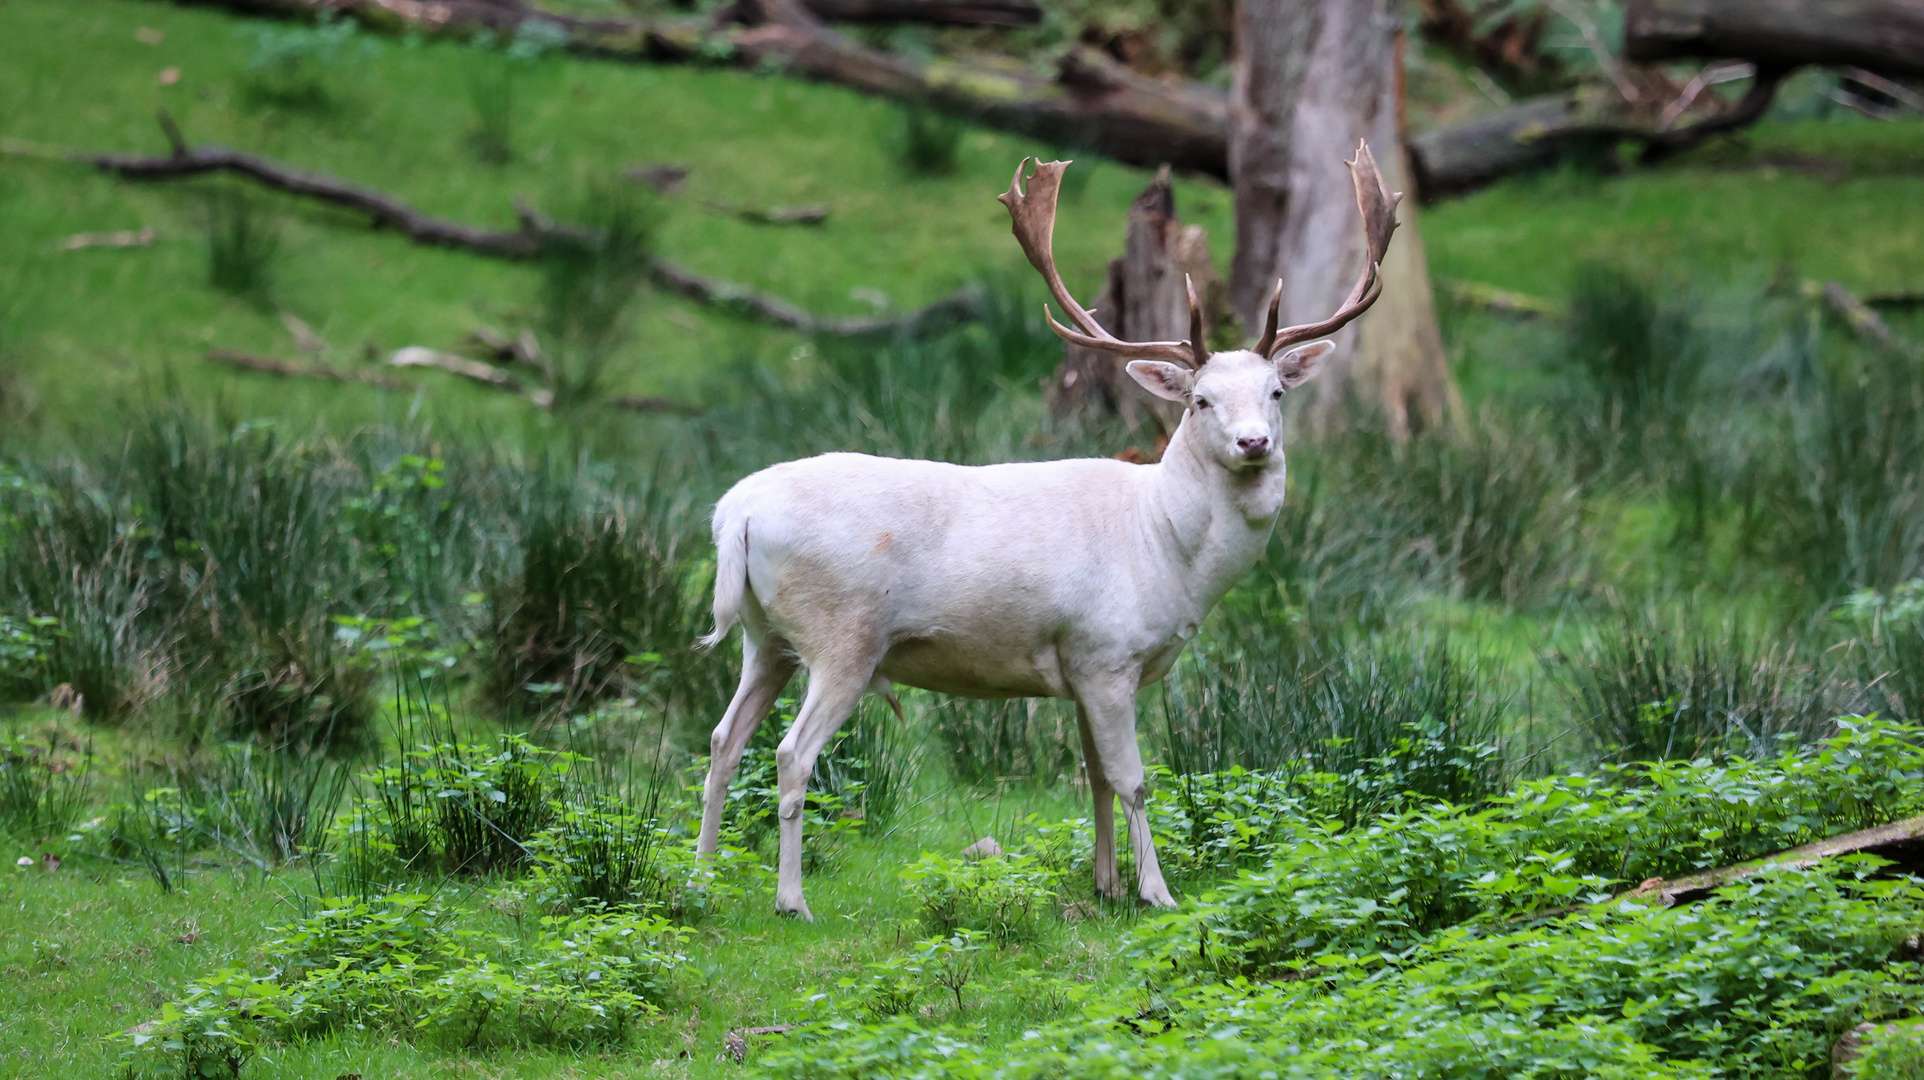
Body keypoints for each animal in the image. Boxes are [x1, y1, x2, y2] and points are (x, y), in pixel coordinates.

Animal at [692, 141, 1400, 916]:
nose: (1253, 443)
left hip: (765, 638)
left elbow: (1094, 779)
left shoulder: (1084, 668)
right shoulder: (1106, 652)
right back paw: (791, 900)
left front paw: (1106, 884)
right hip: (842, 635)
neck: (1169, 554)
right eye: (1201, 401)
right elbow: (1134, 780)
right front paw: (1157, 893)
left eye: (1275, 392)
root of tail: (736, 513)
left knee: (722, 739)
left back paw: (698, 874)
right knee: (791, 753)